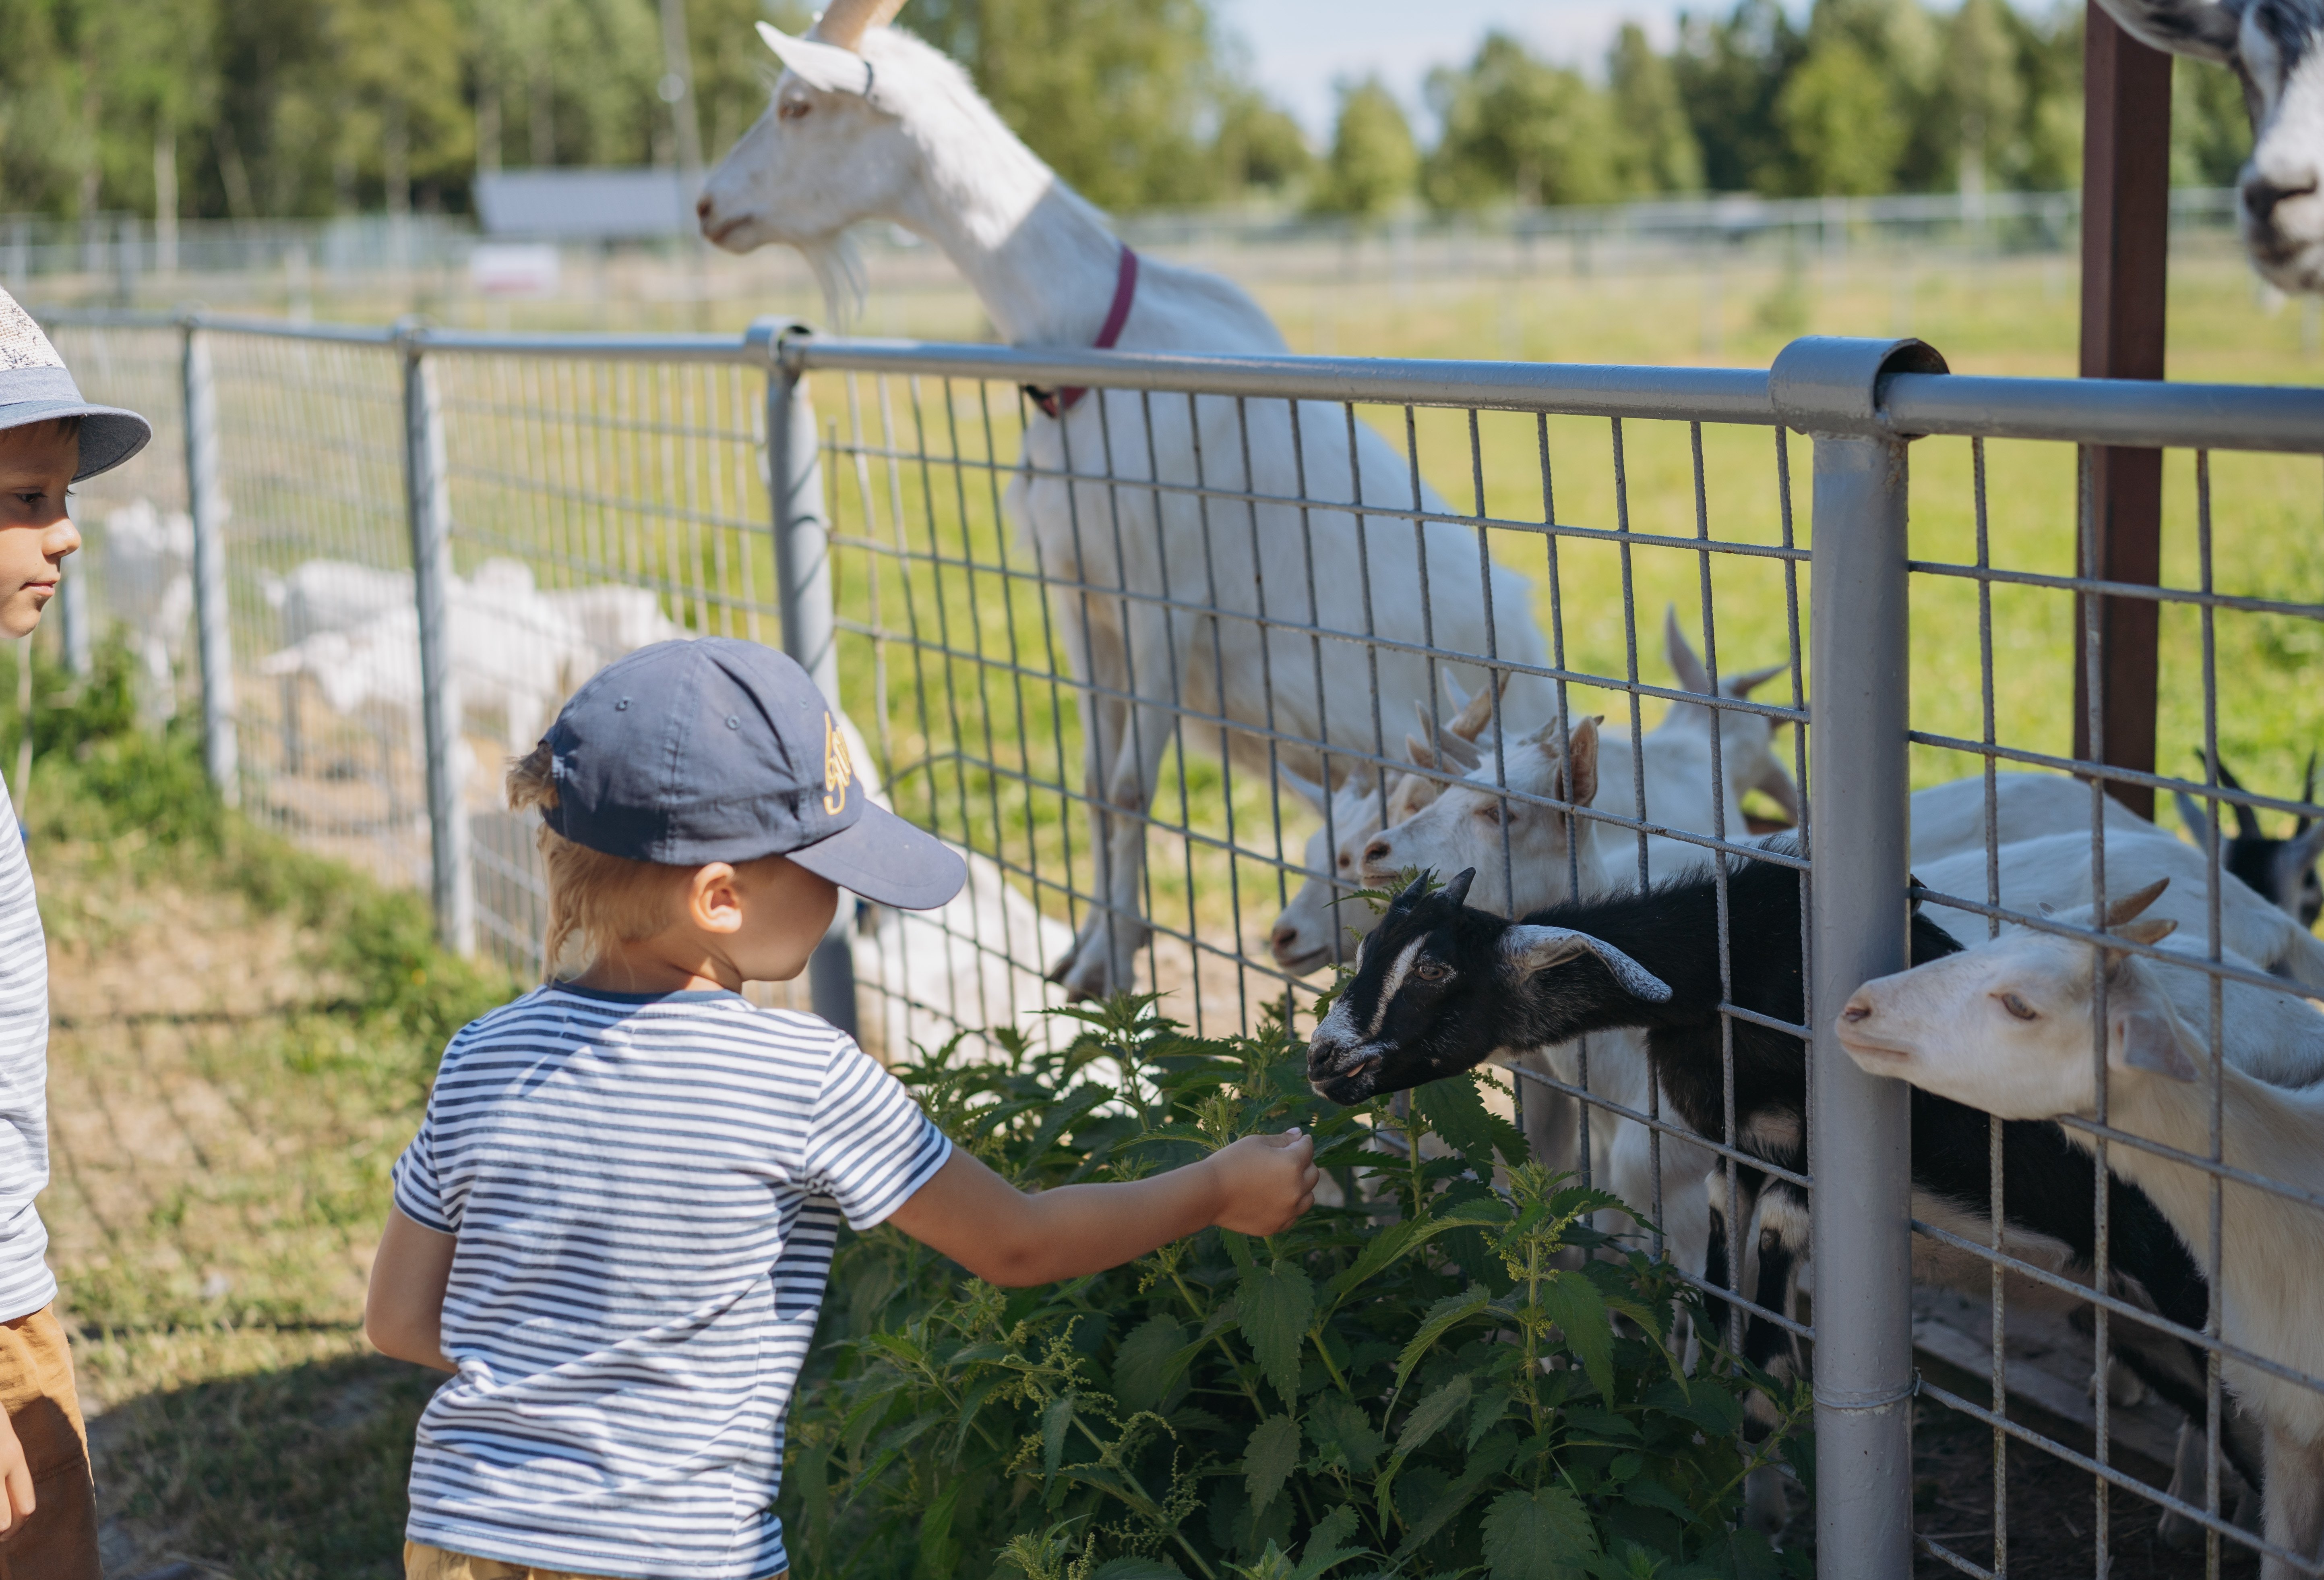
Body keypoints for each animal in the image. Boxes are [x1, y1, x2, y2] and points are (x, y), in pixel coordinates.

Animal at [1311, 859, 2268, 1496]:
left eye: (1436, 967)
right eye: (1371, 947)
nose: (1324, 1060)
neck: (1738, 966)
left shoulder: (1801, 1173)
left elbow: (1767, 1367)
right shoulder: (1735, 1162)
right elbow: (1715, 1319)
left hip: (2192, 1299)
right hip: (2138, 1321)